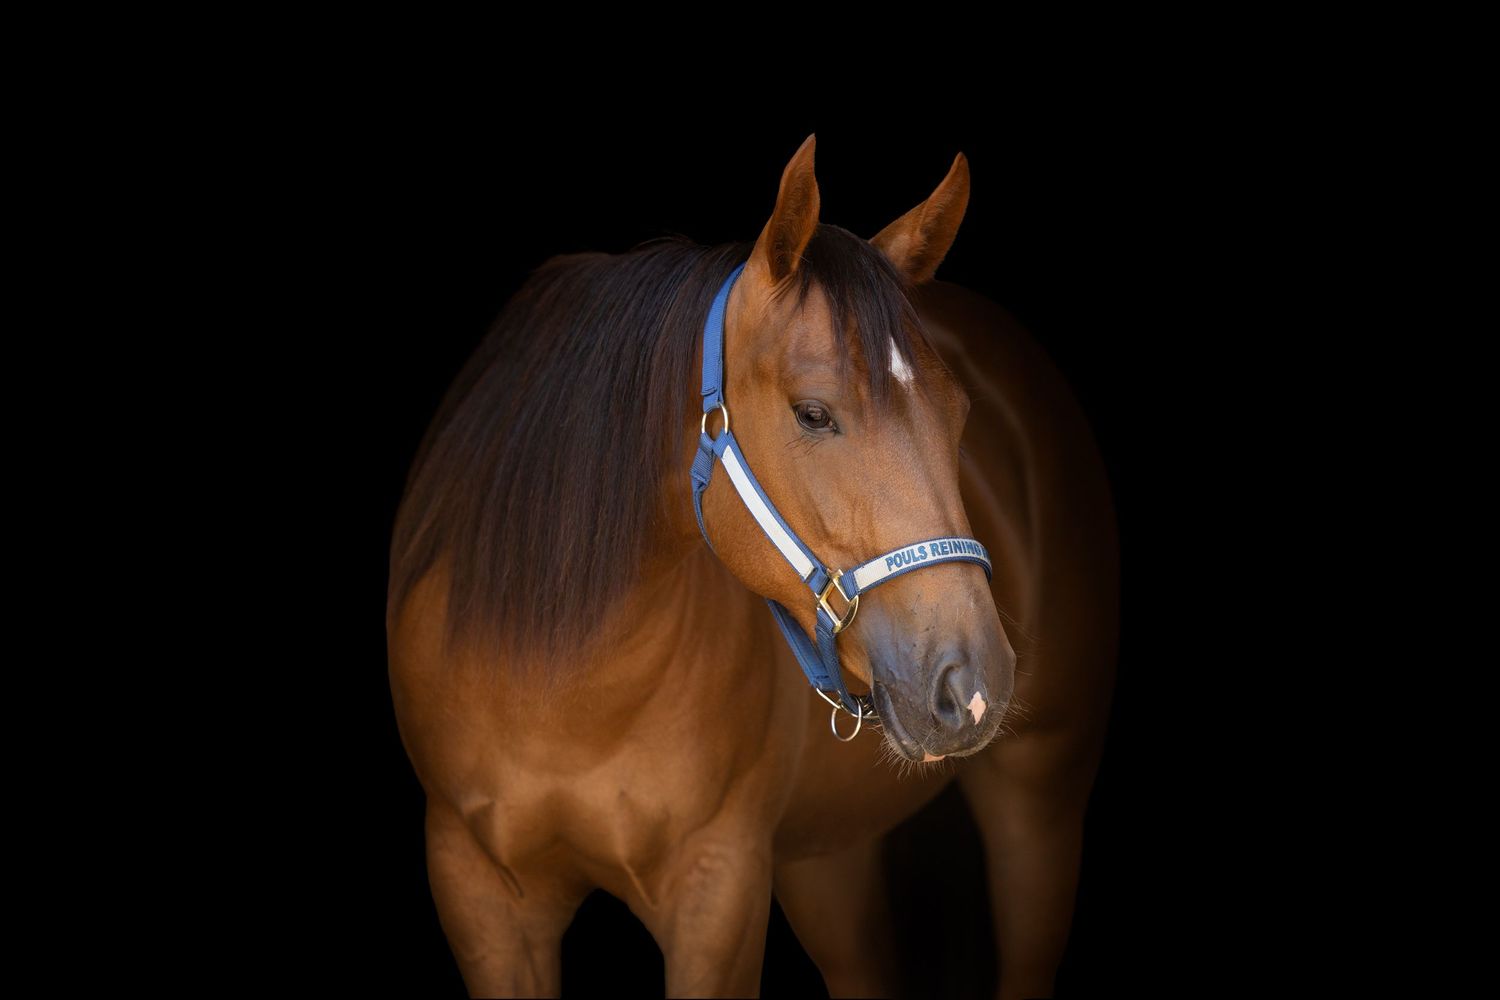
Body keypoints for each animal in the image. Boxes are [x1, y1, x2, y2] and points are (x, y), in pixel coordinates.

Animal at [386, 134, 1118, 999]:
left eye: (961, 413)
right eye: (813, 413)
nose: (975, 683)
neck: (560, 682)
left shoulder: (719, 887)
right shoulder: (477, 892)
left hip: (1039, 806)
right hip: (827, 853)